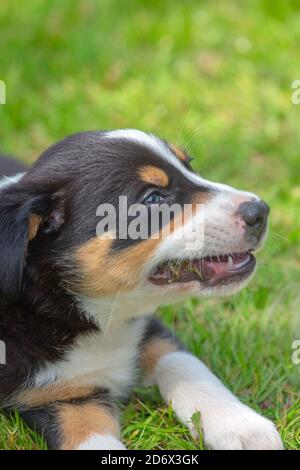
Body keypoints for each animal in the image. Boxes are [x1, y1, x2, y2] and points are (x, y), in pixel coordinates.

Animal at [0, 130, 284, 450]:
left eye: (190, 165)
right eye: (153, 199)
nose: (261, 211)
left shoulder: (150, 329)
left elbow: (187, 364)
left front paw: (243, 426)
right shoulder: (59, 398)